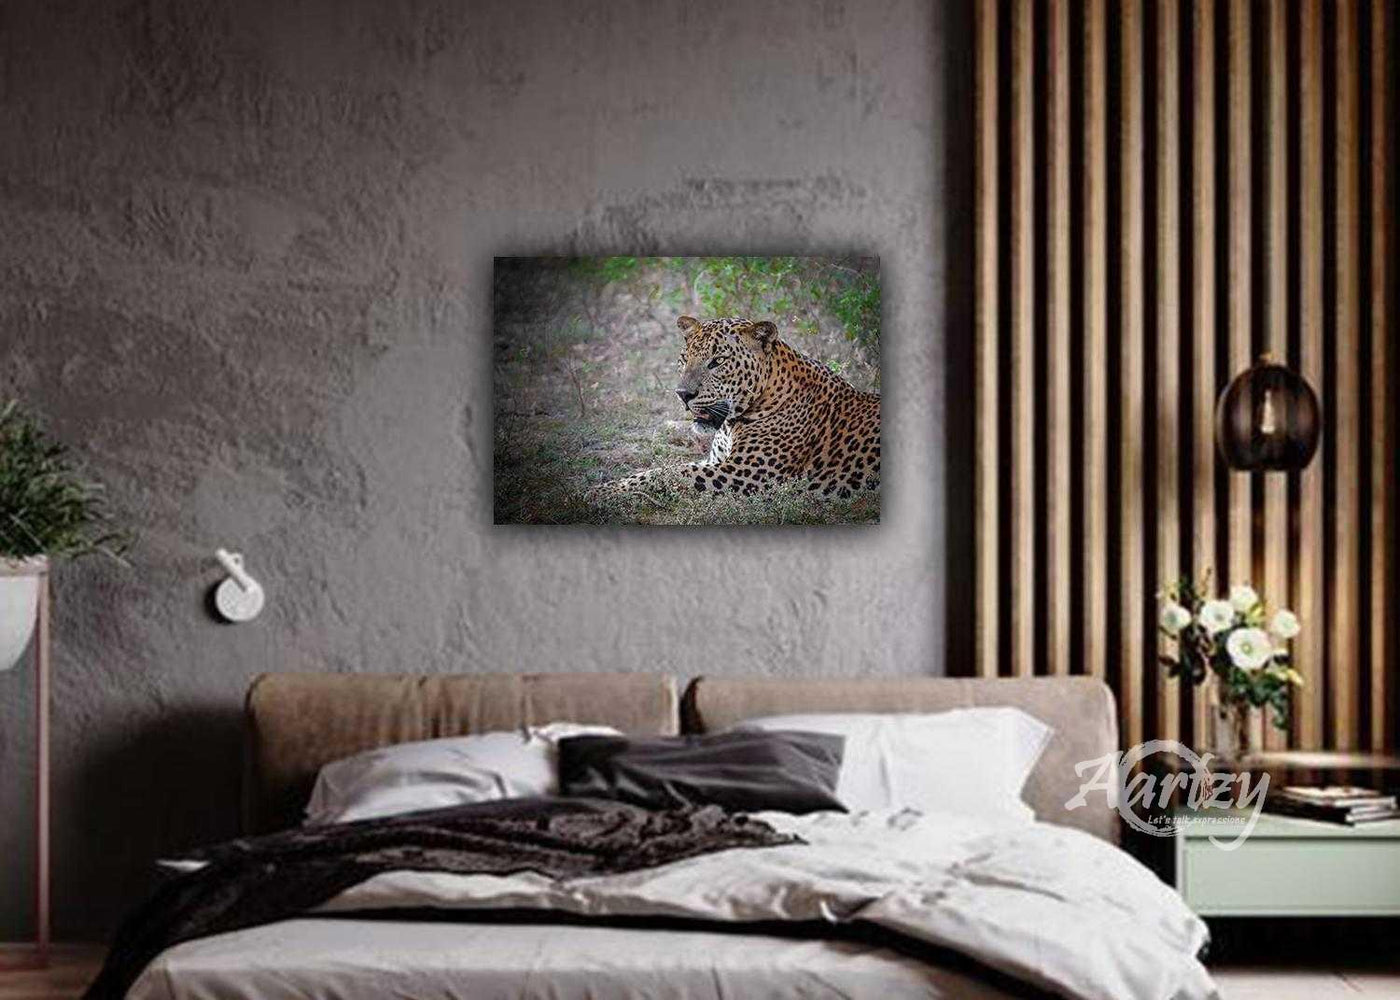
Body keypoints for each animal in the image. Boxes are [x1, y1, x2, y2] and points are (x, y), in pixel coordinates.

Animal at [586, 315, 880, 502]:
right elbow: (657, 469)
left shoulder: (746, 474)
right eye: (684, 358)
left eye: (717, 361)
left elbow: (669, 472)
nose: (683, 394)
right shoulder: (716, 462)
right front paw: (604, 486)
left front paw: (596, 494)